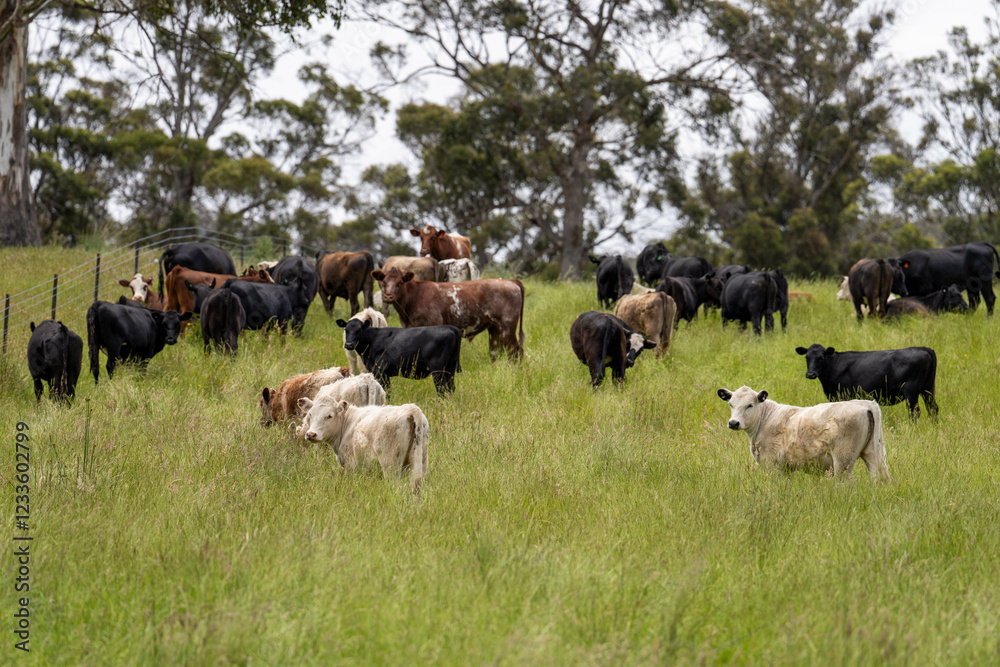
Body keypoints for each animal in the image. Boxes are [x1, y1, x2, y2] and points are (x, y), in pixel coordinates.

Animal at [299, 400, 430, 491]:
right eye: (310, 414)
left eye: (329, 416)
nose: (311, 434)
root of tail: (411, 409)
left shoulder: (350, 465)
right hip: (421, 461)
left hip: (391, 465)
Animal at [372, 268, 525, 360]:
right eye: (384, 282)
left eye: (399, 283)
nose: (388, 296)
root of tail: (509, 281)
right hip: (494, 328)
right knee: (495, 351)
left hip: (507, 327)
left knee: (515, 351)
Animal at [717, 386, 890, 481]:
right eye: (731, 404)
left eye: (750, 405)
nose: (733, 423)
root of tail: (866, 404)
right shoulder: (786, 468)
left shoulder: (772, 464)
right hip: (875, 453)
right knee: (881, 478)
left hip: (843, 460)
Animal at [795, 344, 938, 419]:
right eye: (807, 357)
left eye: (821, 358)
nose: (810, 374)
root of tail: (925, 349)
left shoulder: (841, 395)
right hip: (928, 388)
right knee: (933, 408)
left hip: (911, 391)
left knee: (915, 412)